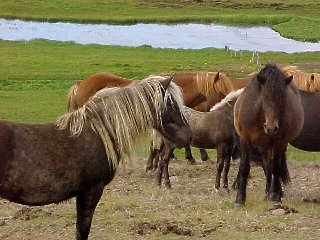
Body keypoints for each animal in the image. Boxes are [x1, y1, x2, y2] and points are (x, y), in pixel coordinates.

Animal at [232, 62, 304, 205]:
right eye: (264, 97)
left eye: (283, 98)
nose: (271, 128)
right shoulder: (244, 139)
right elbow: (244, 167)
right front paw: (240, 199)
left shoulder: (278, 142)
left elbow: (276, 168)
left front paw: (276, 195)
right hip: (263, 146)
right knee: (267, 166)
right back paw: (267, 193)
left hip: (278, 145)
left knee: (274, 166)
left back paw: (275, 192)